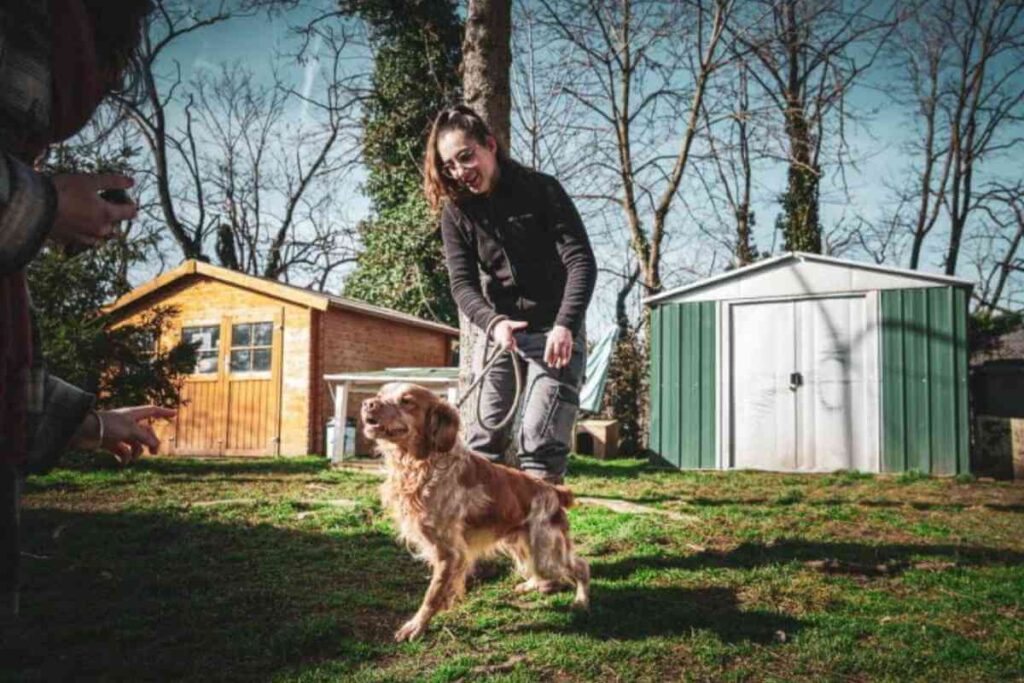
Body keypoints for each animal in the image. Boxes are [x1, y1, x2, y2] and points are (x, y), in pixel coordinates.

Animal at [364, 382, 593, 643]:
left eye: (406, 401)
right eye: (380, 395)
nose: (368, 403)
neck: (420, 464)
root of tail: (552, 491)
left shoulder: (450, 552)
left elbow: (432, 595)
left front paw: (416, 626)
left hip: (546, 554)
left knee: (581, 567)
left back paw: (581, 601)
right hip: (521, 544)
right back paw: (531, 585)